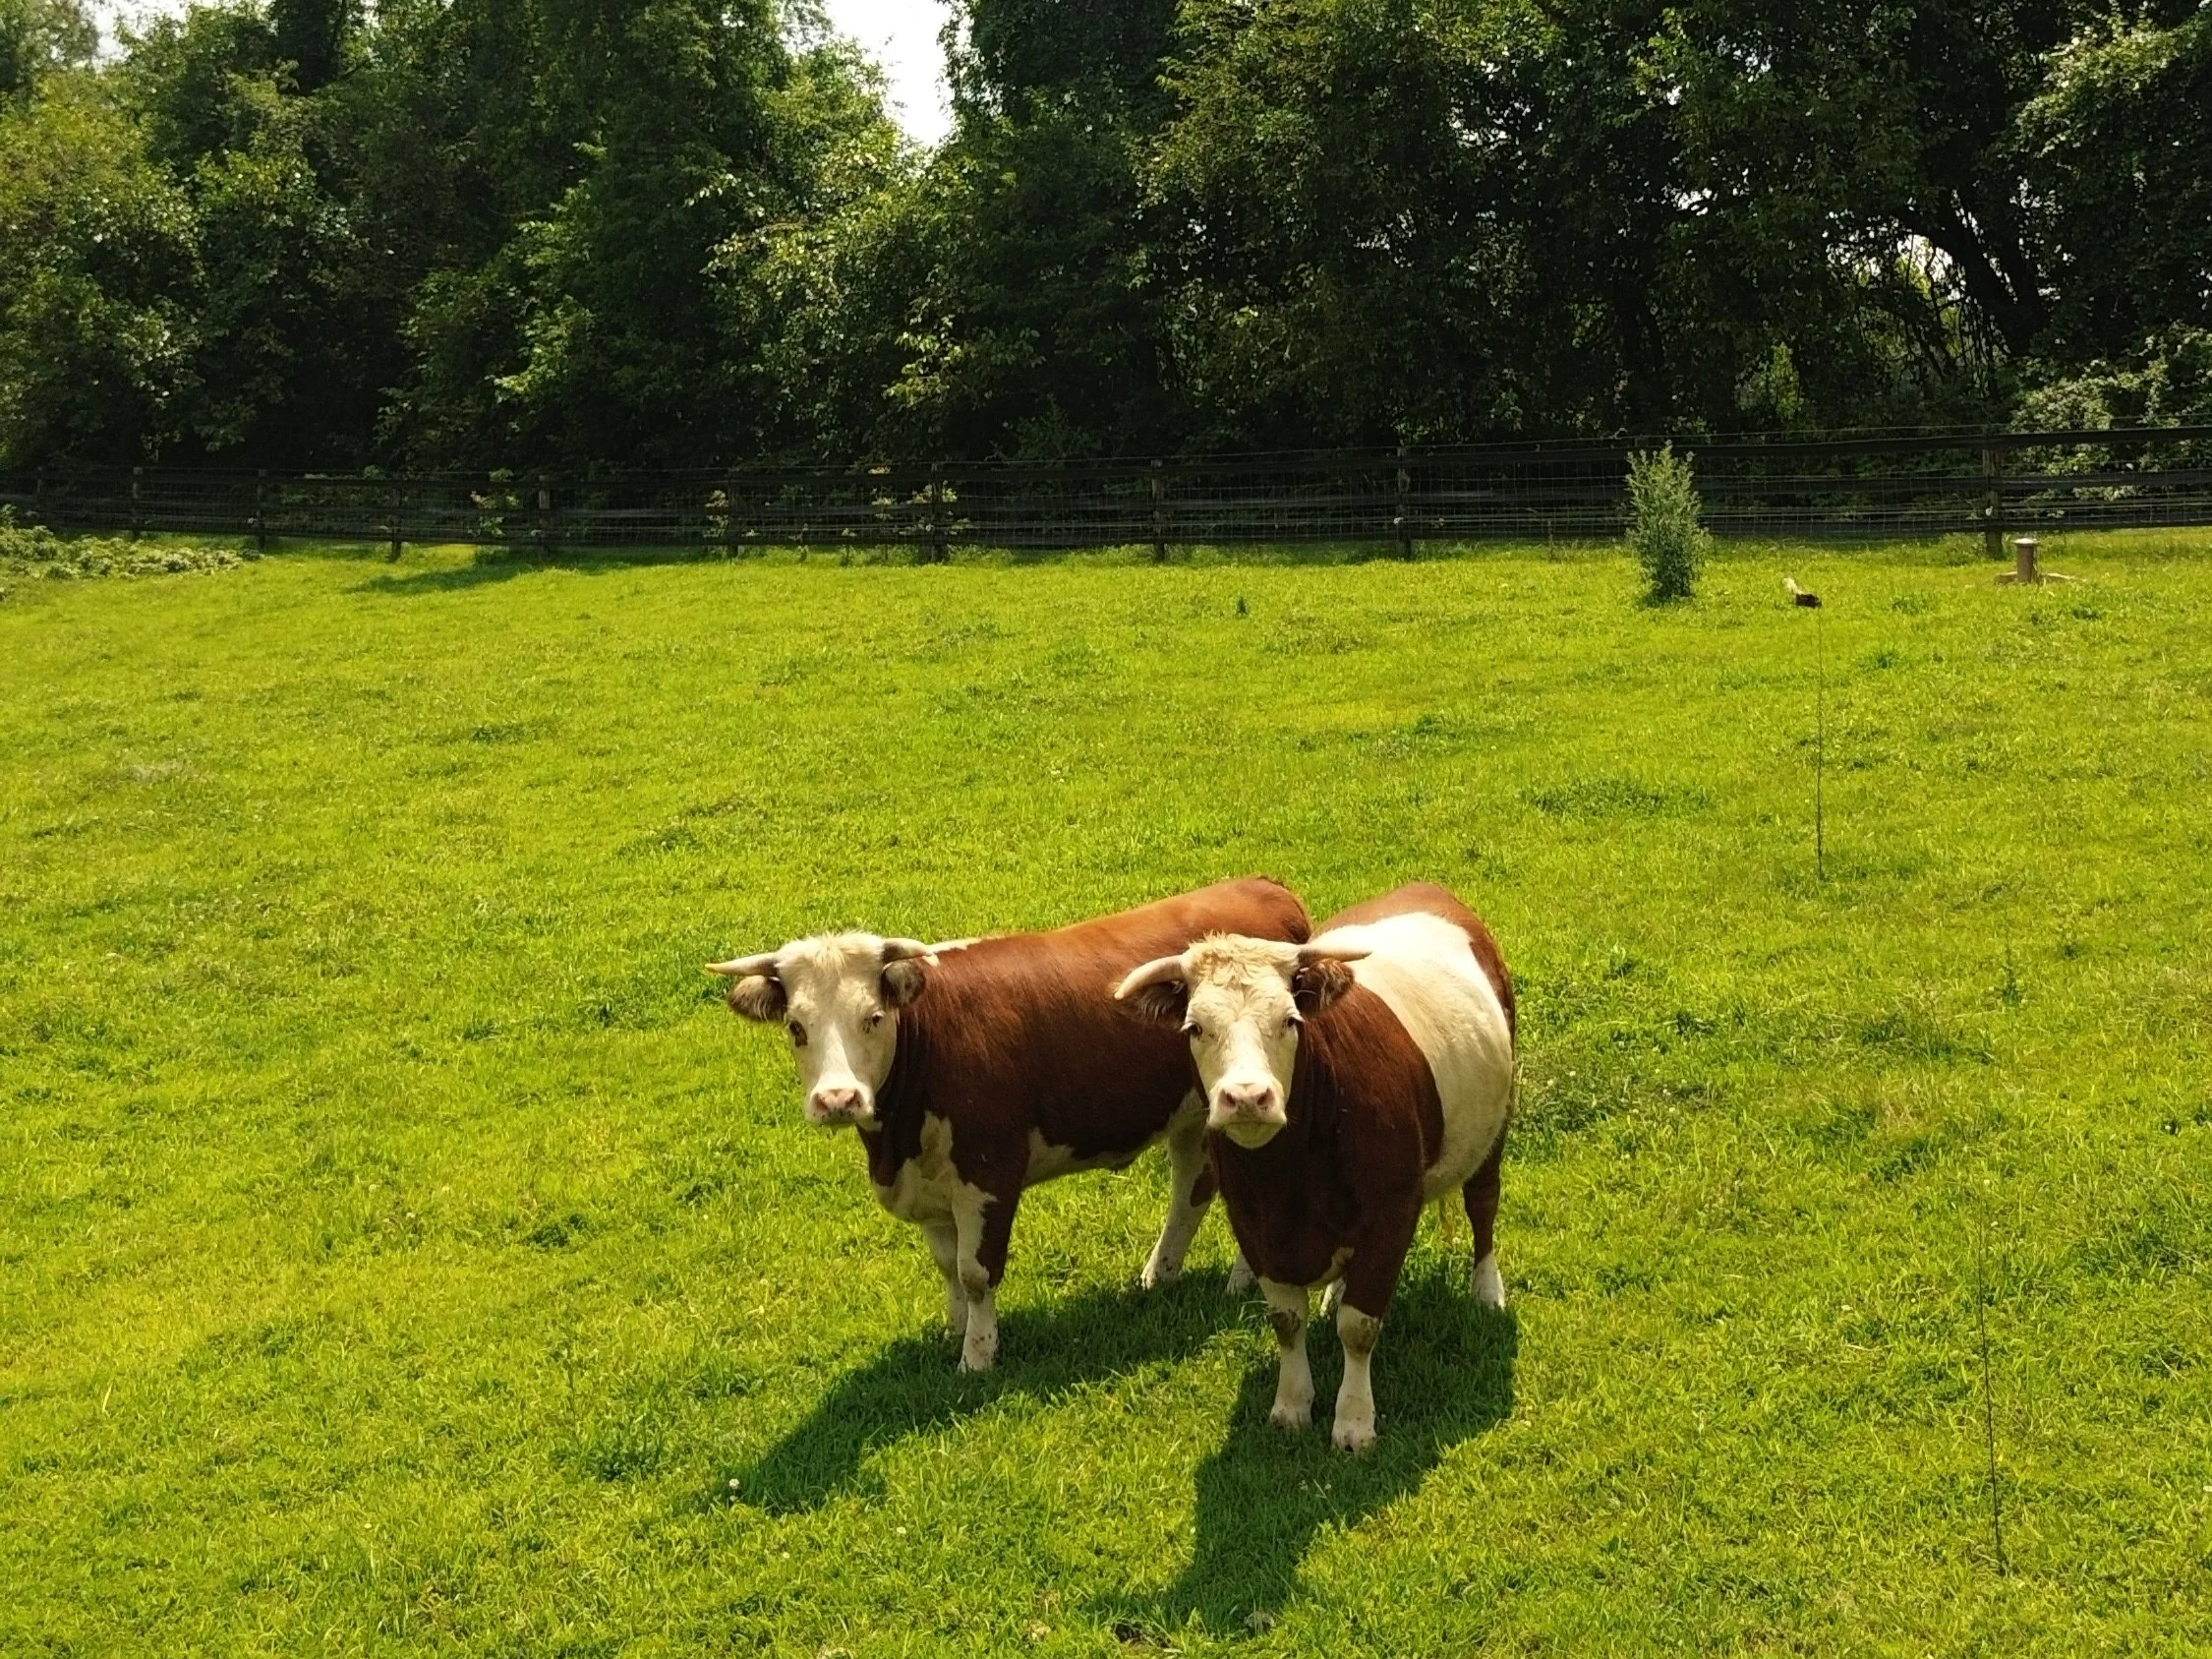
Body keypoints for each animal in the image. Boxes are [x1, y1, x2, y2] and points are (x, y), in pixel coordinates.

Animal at [707, 877, 1311, 1371]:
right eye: (796, 1027)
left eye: (873, 1018)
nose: (838, 1099)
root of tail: (1264, 887)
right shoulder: (929, 1186)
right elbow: (947, 1266)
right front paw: (954, 1332)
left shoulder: (989, 1172)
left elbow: (976, 1273)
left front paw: (977, 1355)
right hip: (1191, 1112)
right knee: (1193, 1184)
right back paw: (1160, 1275)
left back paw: (1240, 1279)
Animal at [1112, 882, 1514, 1452]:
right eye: (1194, 1027)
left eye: (1290, 1021)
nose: (1247, 1097)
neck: (1289, 1177)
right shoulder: (1253, 1225)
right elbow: (1286, 1321)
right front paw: (1291, 1406)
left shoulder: (1392, 1214)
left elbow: (1359, 1329)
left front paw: (1354, 1422)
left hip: (1494, 1128)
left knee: (1483, 1204)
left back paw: (1486, 1290)